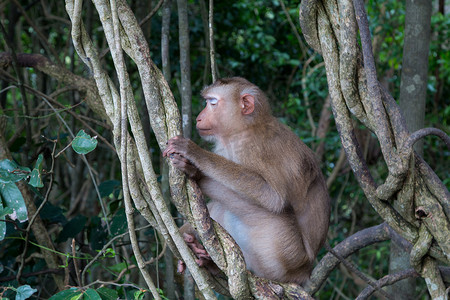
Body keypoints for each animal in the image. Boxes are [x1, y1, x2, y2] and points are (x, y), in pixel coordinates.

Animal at [163, 77, 330, 284]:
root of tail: (306, 271)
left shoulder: (256, 149)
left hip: (286, 253)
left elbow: (272, 197)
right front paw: (195, 173)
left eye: (212, 103)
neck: (244, 129)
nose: (198, 118)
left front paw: (195, 156)